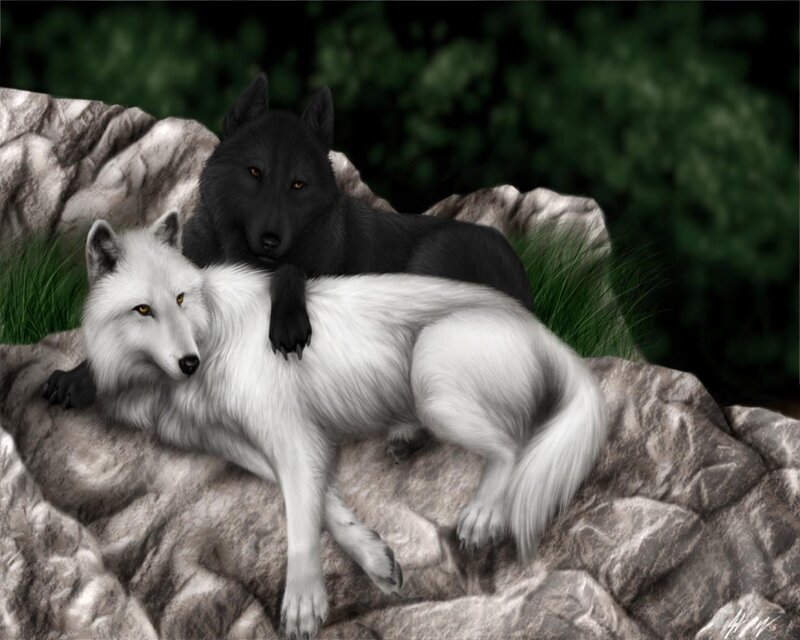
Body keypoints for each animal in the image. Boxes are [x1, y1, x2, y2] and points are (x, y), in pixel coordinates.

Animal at [45, 74, 533, 461]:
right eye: (254, 172)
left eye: (298, 184)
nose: (270, 240)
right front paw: (76, 378)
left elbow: (291, 271)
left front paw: (288, 322)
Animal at [82, 212, 606, 639]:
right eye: (143, 309)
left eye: (180, 298)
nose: (189, 363)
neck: (211, 332)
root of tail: (540, 328)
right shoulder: (244, 445)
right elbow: (324, 502)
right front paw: (374, 557)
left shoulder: (290, 435)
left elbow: (300, 516)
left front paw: (303, 603)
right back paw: (405, 438)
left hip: (431, 373)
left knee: (514, 446)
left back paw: (482, 515)